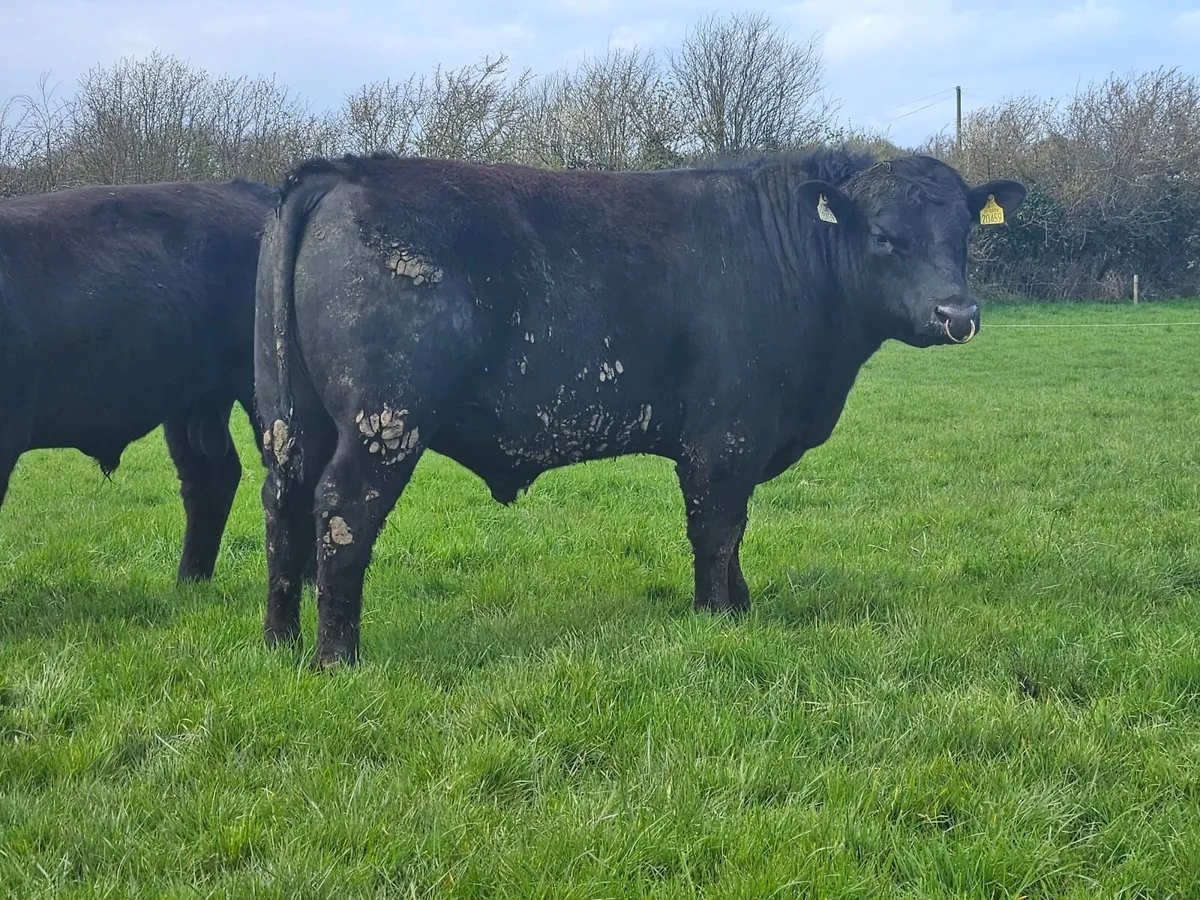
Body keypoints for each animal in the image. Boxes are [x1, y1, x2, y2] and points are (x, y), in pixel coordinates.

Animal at [254, 147, 1026, 667]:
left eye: (963, 233)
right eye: (884, 236)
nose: (958, 314)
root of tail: (344, 171)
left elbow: (735, 532)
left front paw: (742, 605)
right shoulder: (724, 441)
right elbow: (716, 529)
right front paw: (717, 616)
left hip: (295, 423)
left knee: (284, 505)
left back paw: (279, 640)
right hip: (384, 422)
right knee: (342, 512)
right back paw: (336, 656)